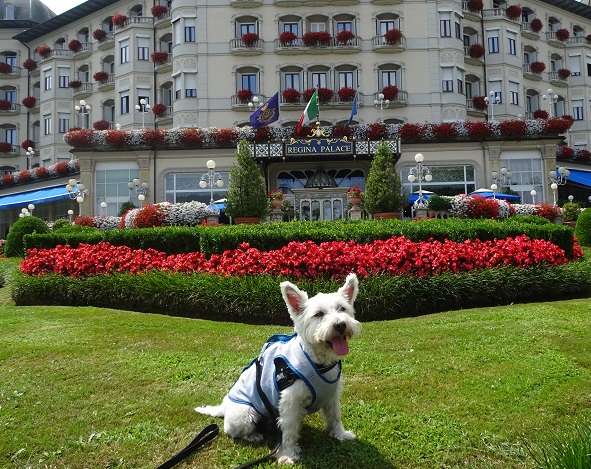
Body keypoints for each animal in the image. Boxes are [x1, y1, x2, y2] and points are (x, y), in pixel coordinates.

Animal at [195, 272, 360, 462]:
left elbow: (334, 416)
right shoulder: (290, 402)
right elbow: (289, 430)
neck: (318, 362)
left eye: (342, 309)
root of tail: (224, 407)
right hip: (244, 414)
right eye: (319, 314)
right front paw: (287, 454)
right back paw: (253, 435)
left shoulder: (332, 396)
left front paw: (340, 434)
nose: (340, 325)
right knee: (234, 431)